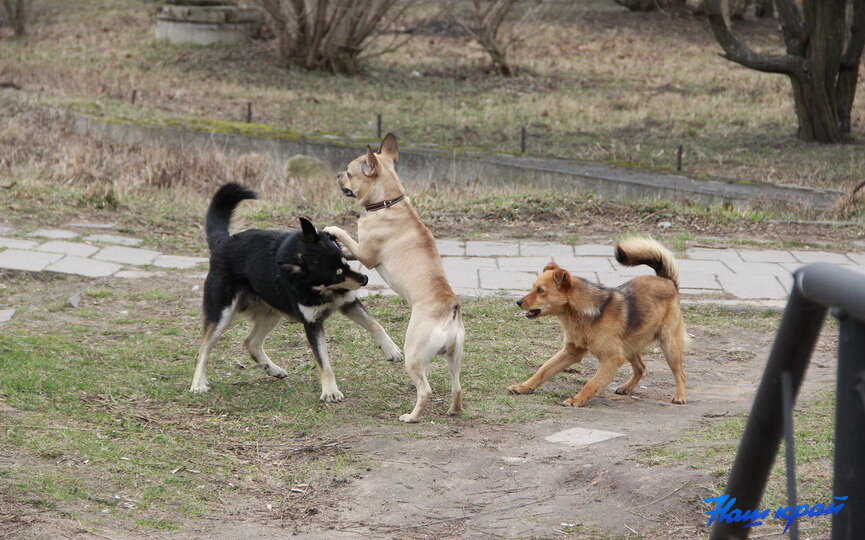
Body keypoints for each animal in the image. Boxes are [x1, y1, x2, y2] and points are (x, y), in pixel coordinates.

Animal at [189, 185, 402, 400]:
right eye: (336, 275)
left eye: (345, 261)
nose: (365, 279)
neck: (319, 290)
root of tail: (223, 242)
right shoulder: (312, 325)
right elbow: (323, 362)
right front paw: (330, 391)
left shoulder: (348, 303)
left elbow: (375, 325)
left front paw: (391, 350)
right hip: (222, 315)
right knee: (203, 350)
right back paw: (198, 383)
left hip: (272, 312)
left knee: (251, 342)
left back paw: (273, 369)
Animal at [322, 134, 462, 422]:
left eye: (349, 173)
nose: (337, 174)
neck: (388, 202)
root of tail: (450, 309)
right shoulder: (360, 252)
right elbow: (346, 250)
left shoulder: (366, 253)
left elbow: (346, 235)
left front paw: (332, 229)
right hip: (454, 357)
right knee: (457, 387)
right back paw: (454, 410)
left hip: (414, 355)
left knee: (425, 390)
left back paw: (411, 416)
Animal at [506, 238, 688, 408]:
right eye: (533, 287)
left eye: (540, 290)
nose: (518, 302)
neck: (579, 313)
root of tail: (666, 280)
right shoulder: (570, 352)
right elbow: (543, 369)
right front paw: (524, 387)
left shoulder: (612, 359)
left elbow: (592, 383)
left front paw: (577, 399)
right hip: (628, 347)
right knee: (641, 367)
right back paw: (627, 387)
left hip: (669, 346)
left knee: (680, 373)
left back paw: (679, 396)